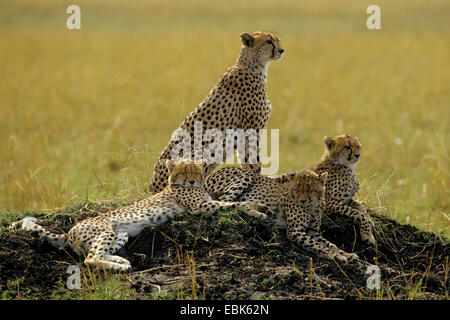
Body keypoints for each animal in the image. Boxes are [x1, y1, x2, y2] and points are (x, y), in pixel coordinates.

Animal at [11, 159, 268, 270]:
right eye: (184, 172)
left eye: (195, 171)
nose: (193, 180)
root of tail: (69, 231)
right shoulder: (200, 208)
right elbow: (232, 204)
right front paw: (257, 210)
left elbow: (232, 202)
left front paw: (258, 207)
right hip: (105, 231)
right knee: (90, 258)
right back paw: (121, 267)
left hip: (120, 235)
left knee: (97, 253)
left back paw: (121, 261)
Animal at [151, 31, 284, 194]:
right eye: (269, 41)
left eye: (277, 40)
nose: (281, 50)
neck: (254, 65)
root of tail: (152, 187)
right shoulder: (251, 130)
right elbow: (253, 161)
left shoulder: (243, 134)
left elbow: (246, 161)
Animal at [205, 169, 358, 262]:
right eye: (297, 189)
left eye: (310, 189)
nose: (302, 200)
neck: (313, 205)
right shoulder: (295, 231)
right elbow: (318, 245)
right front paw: (335, 256)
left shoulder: (313, 232)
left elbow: (330, 244)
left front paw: (345, 253)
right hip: (246, 176)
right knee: (225, 203)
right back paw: (259, 213)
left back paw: (263, 210)